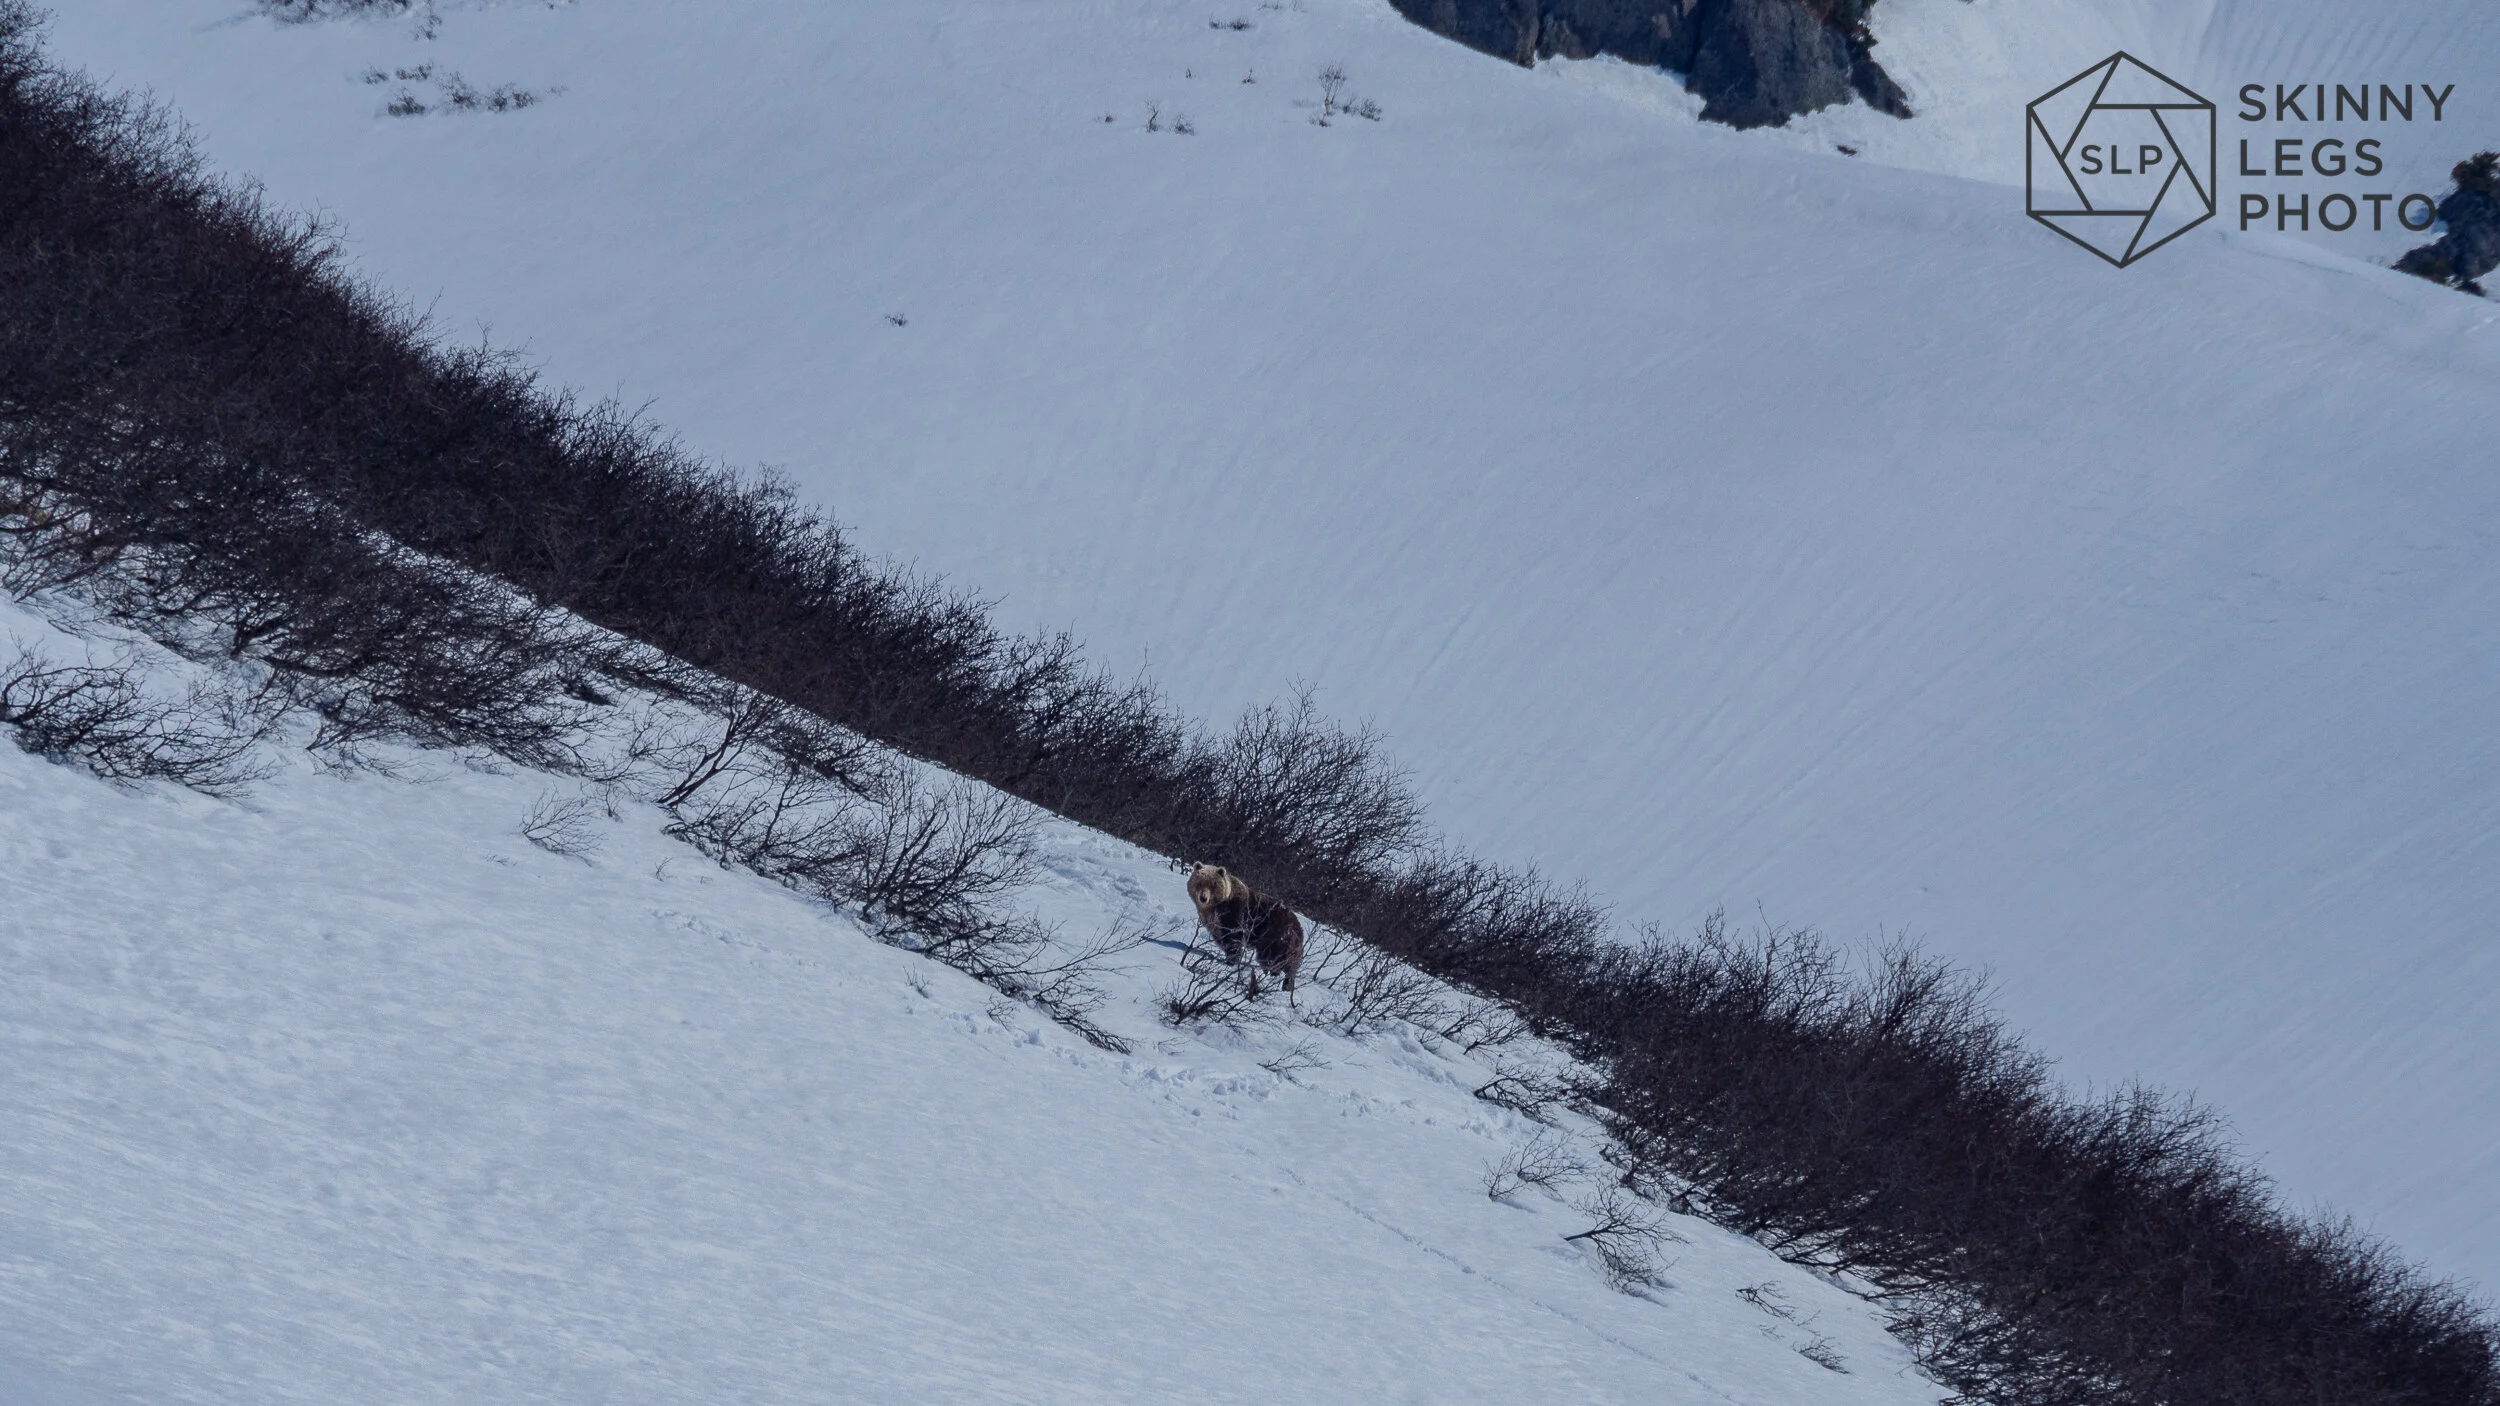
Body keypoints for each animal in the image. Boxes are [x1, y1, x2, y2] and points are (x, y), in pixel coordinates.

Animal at [1186, 863, 1305, 999]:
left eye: (1213, 885)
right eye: (1200, 883)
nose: (1203, 898)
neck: (1216, 906)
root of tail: (1299, 928)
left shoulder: (1235, 912)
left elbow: (1233, 937)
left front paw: (1231, 961)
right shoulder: (1213, 922)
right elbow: (1221, 937)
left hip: (1275, 937)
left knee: (1275, 959)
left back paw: (1277, 978)